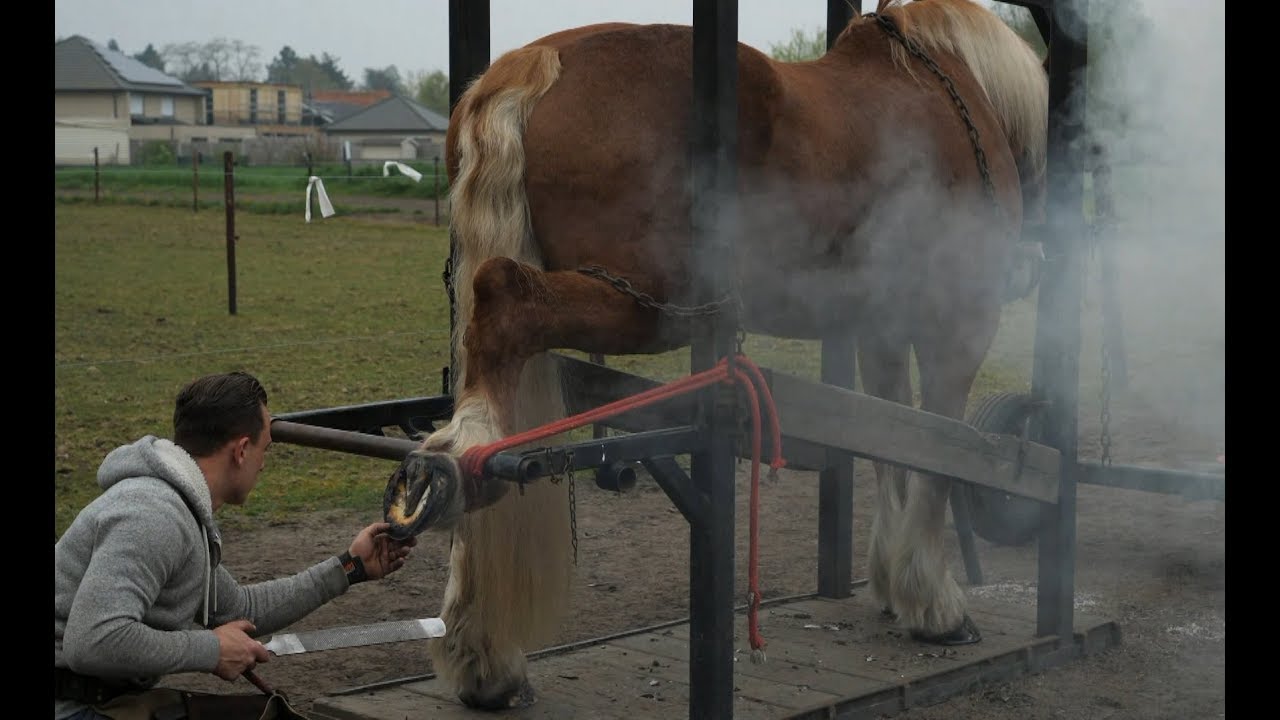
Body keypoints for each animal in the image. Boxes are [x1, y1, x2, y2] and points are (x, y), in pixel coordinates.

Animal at [384, 0, 1044, 707]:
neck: (951, 88)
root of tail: (534, 64)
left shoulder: (883, 331)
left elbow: (894, 446)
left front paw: (896, 586)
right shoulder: (957, 322)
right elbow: (941, 456)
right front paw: (935, 605)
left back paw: (482, 652)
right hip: (645, 305)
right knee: (504, 309)